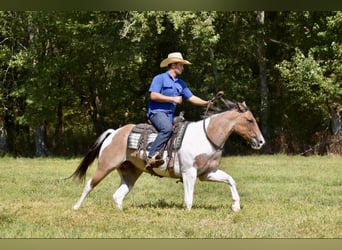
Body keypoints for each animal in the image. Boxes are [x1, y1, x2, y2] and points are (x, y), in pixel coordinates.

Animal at [71, 96, 266, 213]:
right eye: (249, 120)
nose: (261, 142)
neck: (206, 137)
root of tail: (114, 133)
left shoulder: (207, 173)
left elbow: (230, 180)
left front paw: (236, 206)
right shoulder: (189, 173)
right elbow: (189, 197)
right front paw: (188, 212)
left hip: (130, 172)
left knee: (118, 195)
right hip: (105, 166)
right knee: (89, 185)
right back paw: (76, 207)